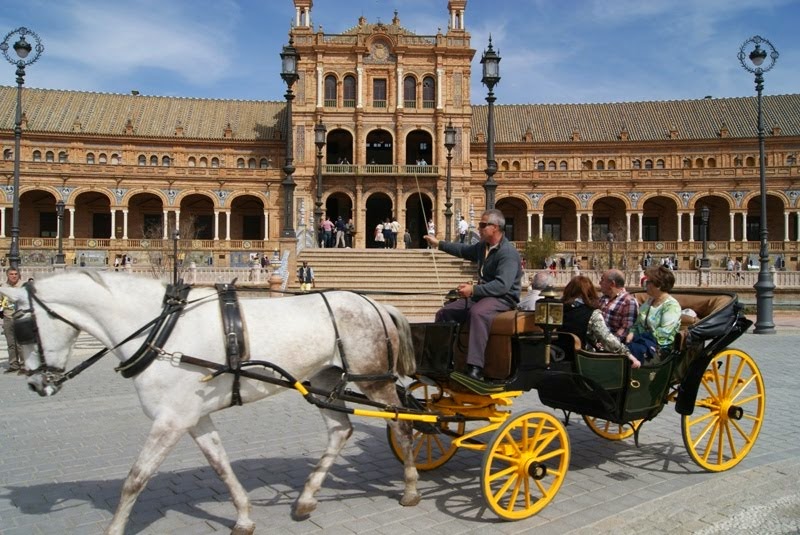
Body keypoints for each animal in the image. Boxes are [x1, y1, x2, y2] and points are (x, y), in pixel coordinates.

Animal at [0, 272, 422, 535]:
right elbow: (220, 465)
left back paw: (410, 489)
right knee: (340, 430)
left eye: (22, 329)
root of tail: (374, 303)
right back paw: (305, 499)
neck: (161, 329)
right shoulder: (191, 416)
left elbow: (136, 478)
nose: (36, 383)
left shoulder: (170, 419)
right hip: (324, 380)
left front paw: (114, 527)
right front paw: (244, 517)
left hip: (372, 380)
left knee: (403, 424)